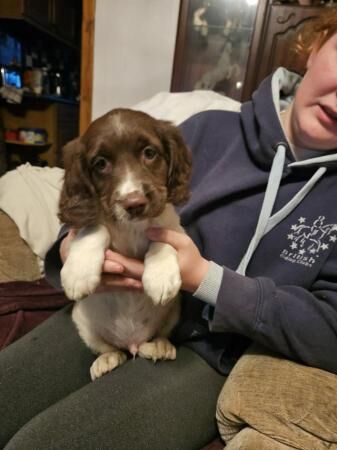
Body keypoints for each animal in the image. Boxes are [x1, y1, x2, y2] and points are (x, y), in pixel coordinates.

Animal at [58, 109, 192, 380]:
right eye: (100, 163)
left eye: (149, 153)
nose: (134, 204)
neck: (132, 227)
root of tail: (132, 343)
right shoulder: (93, 220)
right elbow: (95, 228)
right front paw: (78, 274)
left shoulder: (174, 227)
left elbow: (163, 237)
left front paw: (161, 277)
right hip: (83, 322)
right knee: (109, 348)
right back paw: (107, 359)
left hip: (173, 312)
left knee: (154, 338)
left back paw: (159, 346)